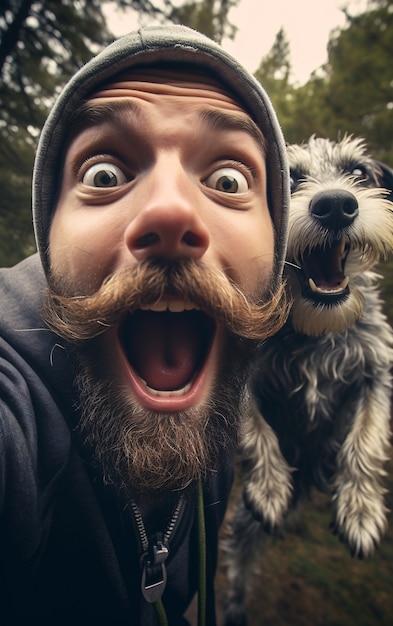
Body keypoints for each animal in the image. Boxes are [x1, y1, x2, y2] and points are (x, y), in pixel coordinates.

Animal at [222, 136, 392, 624]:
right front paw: (269, 487)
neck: (317, 326)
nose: (335, 206)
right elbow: (254, 429)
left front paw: (360, 510)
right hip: (244, 529)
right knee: (241, 561)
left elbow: (366, 440)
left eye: (358, 173)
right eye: (291, 178)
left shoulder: (376, 372)